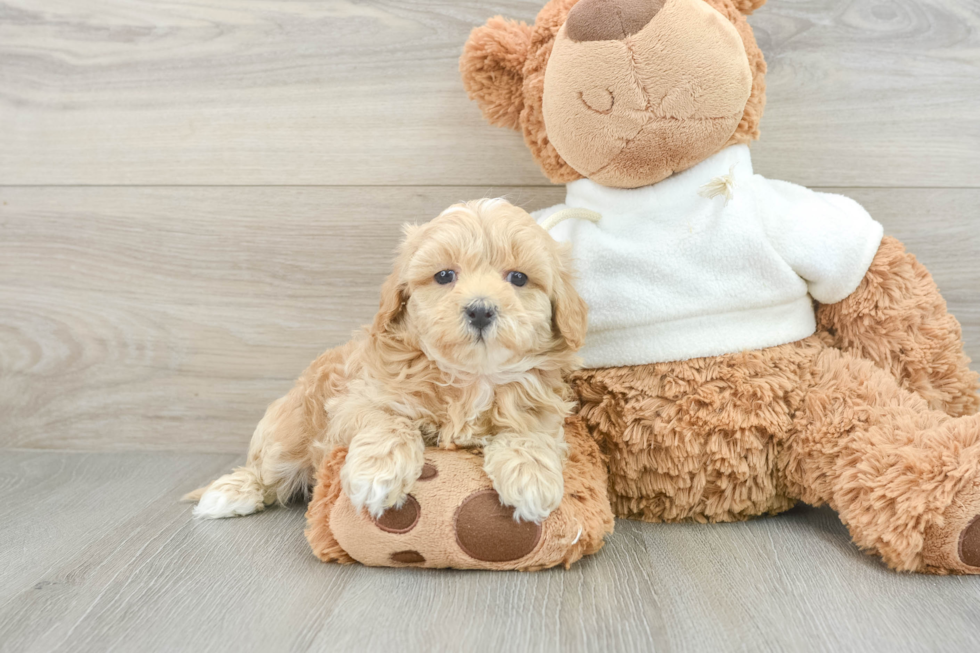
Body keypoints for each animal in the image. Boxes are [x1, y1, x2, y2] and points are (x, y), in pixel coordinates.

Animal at [189, 196, 588, 524]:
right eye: (445, 275)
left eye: (518, 278)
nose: (480, 310)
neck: (471, 377)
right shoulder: (357, 400)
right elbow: (389, 421)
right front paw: (378, 474)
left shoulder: (540, 409)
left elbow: (528, 433)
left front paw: (530, 477)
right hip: (289, 430)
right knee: (269, 470)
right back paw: (229, 494)